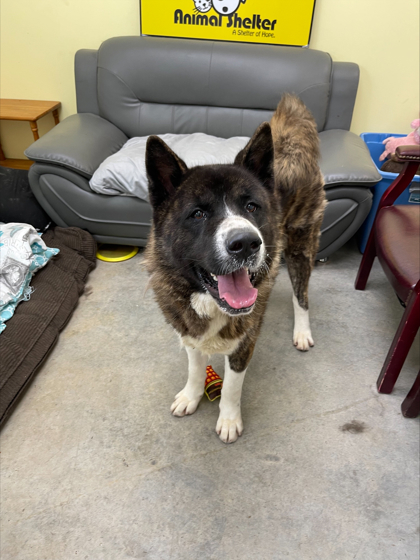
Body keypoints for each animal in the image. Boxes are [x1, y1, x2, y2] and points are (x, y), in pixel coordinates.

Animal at [144, 94, 324, 442]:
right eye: (198, 213)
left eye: (252, 206)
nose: (246, 243)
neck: (208, 300)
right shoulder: (189, 332)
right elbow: (195, 368)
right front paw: (191, 396)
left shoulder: (245, 342)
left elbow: (231, 386)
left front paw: (228, 420)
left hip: (301, 245)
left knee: (301, 295)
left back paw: (302, 331)